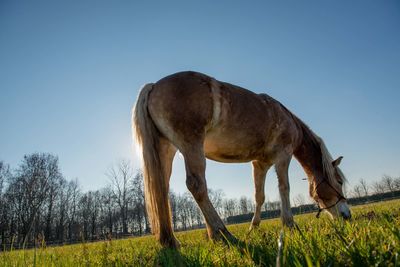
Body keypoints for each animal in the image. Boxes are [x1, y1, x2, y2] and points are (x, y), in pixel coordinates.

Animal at [133, 71, 352, 249]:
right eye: (339, 181)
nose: (347, 216)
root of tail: (154, 86)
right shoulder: (283, 156)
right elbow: (284, 188)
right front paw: (290, 225)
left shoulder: (260, 164)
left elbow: (259, 196)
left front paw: (253, 228)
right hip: (191, 145)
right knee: (197, 185)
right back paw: (221, 233)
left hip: (166, 150)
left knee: (162, 190)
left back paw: (171, 241)